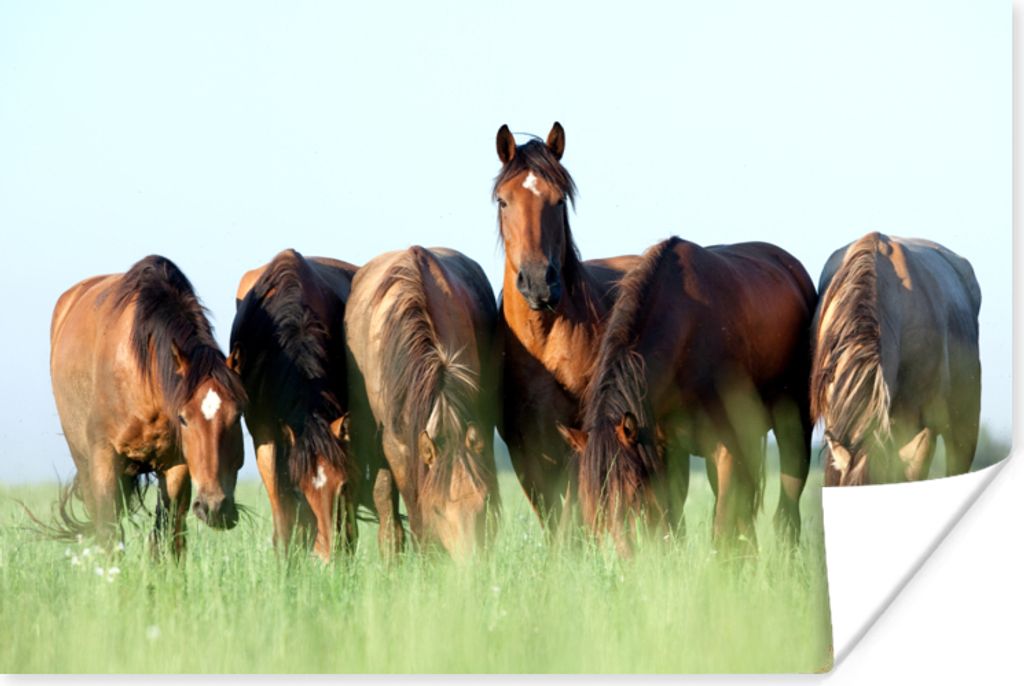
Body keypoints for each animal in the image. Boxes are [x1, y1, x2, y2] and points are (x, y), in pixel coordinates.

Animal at [49, 255, 246, 555]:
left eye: (237, 416)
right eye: (184, 418)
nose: (215, 508)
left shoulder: (177, 465)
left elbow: (167, 534)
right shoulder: (104, 457)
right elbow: (108, 531)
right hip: (83, 459)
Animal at [561, 237, 817, 557]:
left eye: (633, 492)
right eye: (590, 501)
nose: (624, 561)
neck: (686, 336)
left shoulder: (726, 449)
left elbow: (721, 528)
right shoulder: (664, 451)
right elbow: (672, 524)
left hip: (794, 429)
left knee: (787, 506)